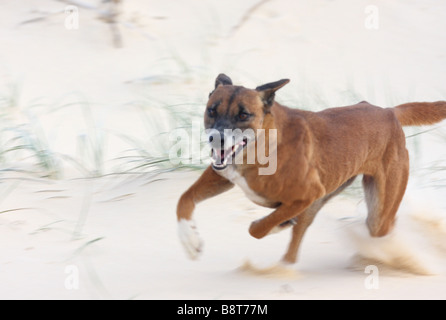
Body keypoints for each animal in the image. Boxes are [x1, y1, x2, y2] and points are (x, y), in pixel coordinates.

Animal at [176, 74, 446, 264]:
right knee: (294, 247)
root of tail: (388, 112)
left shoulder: (307, 195)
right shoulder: (223, 174)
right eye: (212, 110)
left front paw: (273, 225)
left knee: (381, 224)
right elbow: (184, 199)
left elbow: (259, 228)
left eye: (244, 115)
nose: (217, 139)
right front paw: (189, 239)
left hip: (378, 212)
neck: (263, 143)